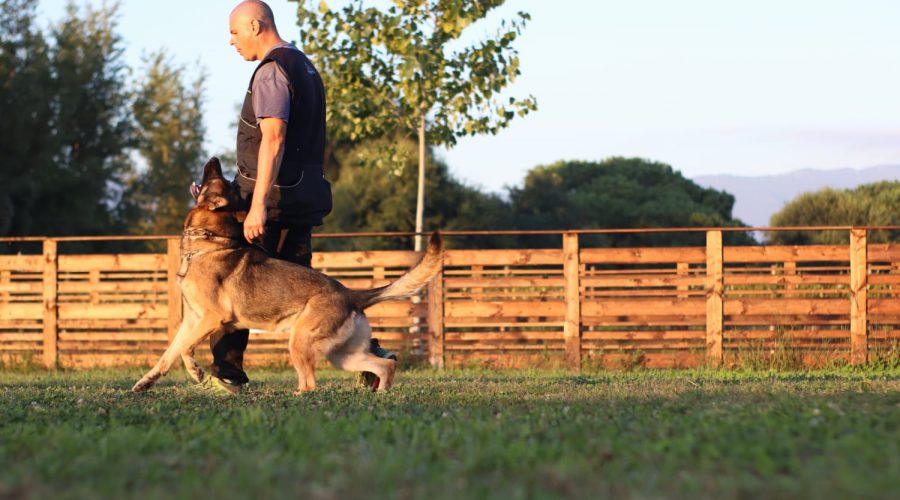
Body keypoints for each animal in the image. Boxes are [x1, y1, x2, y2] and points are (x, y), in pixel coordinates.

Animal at [132, 158, 442, 392]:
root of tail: (349, 294)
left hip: (301, 342)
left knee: (311, 384)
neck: (207, 241)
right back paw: (380, 392)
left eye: (219, 178)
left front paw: (198, 373)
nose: (215, 160)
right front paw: (145, 383)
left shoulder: (211, 318)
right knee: (384, 365)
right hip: (341, 355)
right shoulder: (191, 322)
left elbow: (185, 351)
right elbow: (167, 355)